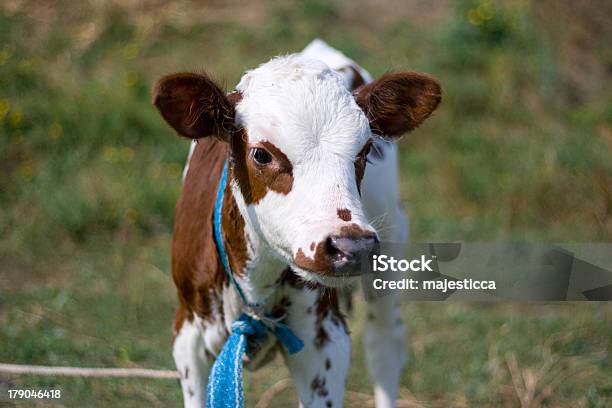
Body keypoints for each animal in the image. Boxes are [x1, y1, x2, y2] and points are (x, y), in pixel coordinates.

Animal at [152, 39, 440, 408]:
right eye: (262, 154)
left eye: (365, 150)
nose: (351, 246)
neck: (255, 285)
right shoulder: (188, 333)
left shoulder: (324, 338)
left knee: (384, 343)